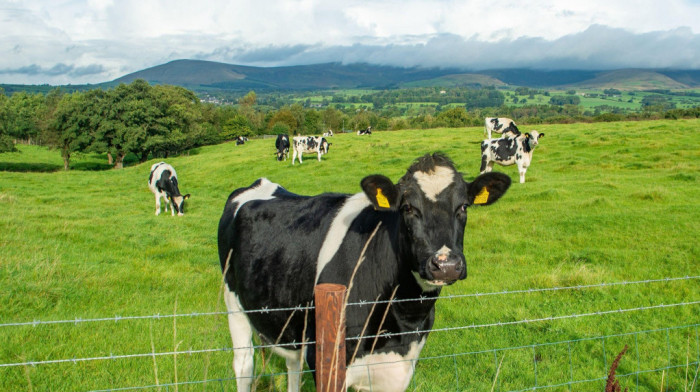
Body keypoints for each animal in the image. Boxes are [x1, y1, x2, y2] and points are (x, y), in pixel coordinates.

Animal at [216, 152, 512, 392]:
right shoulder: (325, 362)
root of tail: (258, 184)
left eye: (463, 207)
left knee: (292, 366)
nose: (446, 264)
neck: (401, 320)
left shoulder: (398, 368)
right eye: (407, 208)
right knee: (244, 365)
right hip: (233, 303)